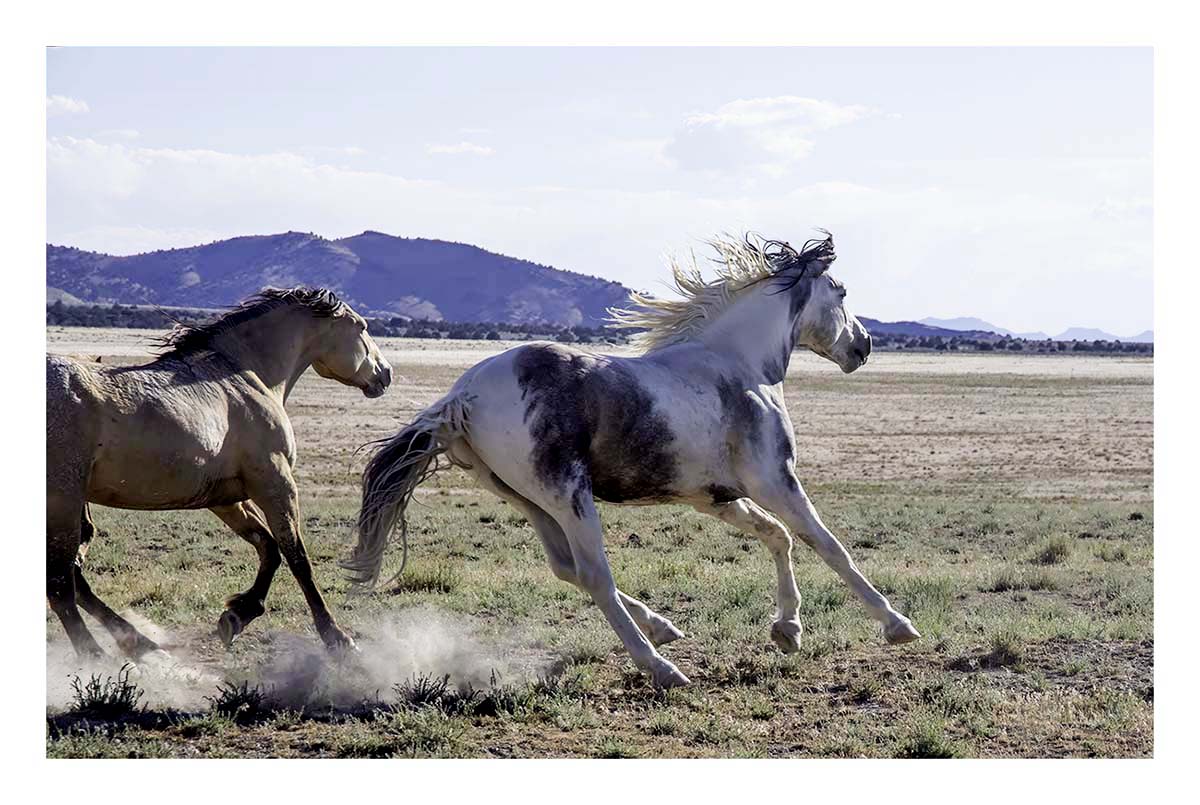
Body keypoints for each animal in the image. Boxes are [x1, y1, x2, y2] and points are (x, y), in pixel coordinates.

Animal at [47, 287, 392, 660]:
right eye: (362, 327)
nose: (385, 374)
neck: (241, 376)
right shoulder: (276, 483)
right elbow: (297, 557)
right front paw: (337, 637)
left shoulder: (226, 498)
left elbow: (268, 547)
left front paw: (236, 616)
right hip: (63, 502)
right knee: (61, 585)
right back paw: (101, 656)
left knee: (73, 580)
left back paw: (142, 645)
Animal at [345, 232, 920, 688]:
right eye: (841, 293)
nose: (864, 346)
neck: (740, 367)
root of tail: (461, 397)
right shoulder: (775, 481)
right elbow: (828, 545)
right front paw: (896, 625)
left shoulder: (716, 498)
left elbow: (777, 537)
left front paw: (788, 631)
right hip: (568, 495)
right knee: (594, 575)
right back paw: (662, 668)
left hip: (526, 498)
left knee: (567, 568)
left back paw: (662, 628)